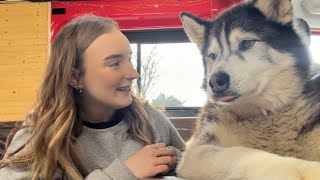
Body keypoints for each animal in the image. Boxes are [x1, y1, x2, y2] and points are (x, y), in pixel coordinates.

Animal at [176, 0, 320, 179]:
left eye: (246, 43)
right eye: (212, 55)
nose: (215, 82)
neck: (266, 114)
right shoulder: (198, 150)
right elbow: (244, 152)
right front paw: (296, 169)